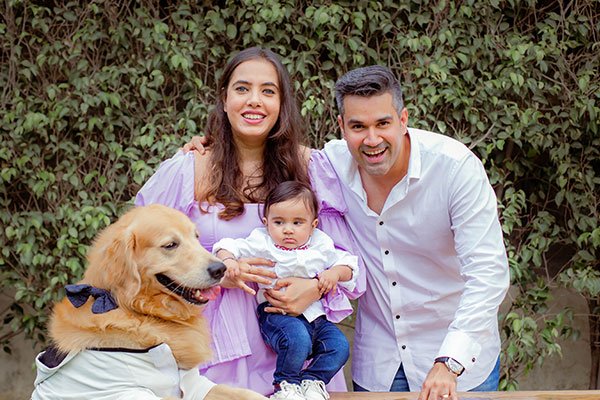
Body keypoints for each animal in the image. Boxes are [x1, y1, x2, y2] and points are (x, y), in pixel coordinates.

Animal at [31, 205, 266, 398]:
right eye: (170, 245)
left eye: (196, 237)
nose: (220, 269)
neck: (140, 313)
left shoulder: (193, 384)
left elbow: (248, 394)